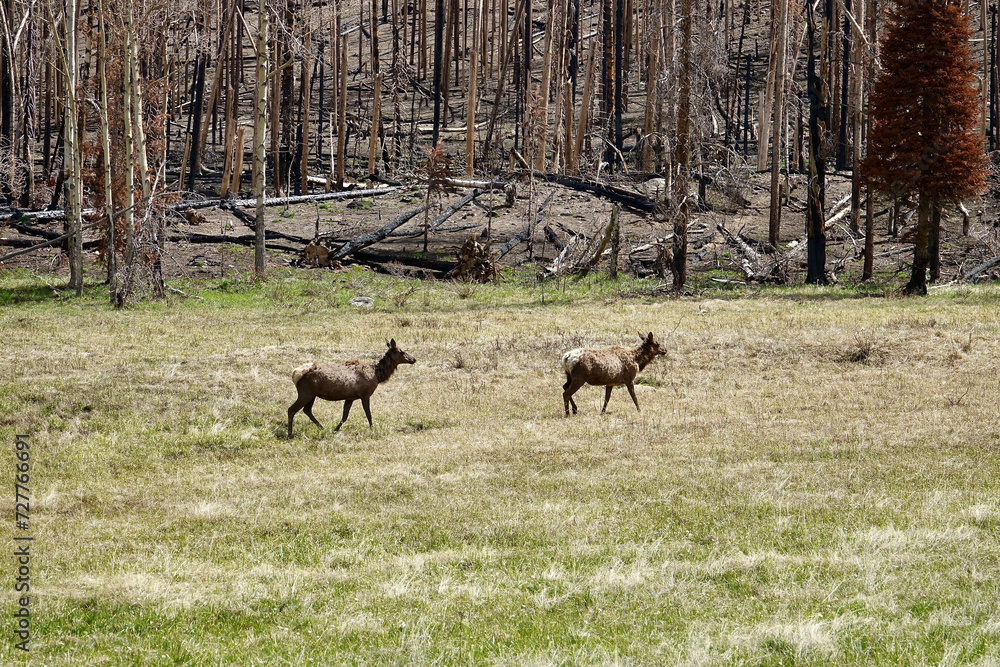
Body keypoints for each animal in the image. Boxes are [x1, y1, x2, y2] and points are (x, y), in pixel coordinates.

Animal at [288, 339, 416, 437]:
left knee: (307, 410)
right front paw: (372, 429)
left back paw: (322, 428)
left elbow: (344, 417)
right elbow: (368, 414)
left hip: (312, 395)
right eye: (402, 351)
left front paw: (335, 431)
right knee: (291, 409)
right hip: (305, 393)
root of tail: (295, 374)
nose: (413, 359)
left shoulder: (350, 398)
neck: (377, 375)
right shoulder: (365, 394)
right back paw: (290, 434)